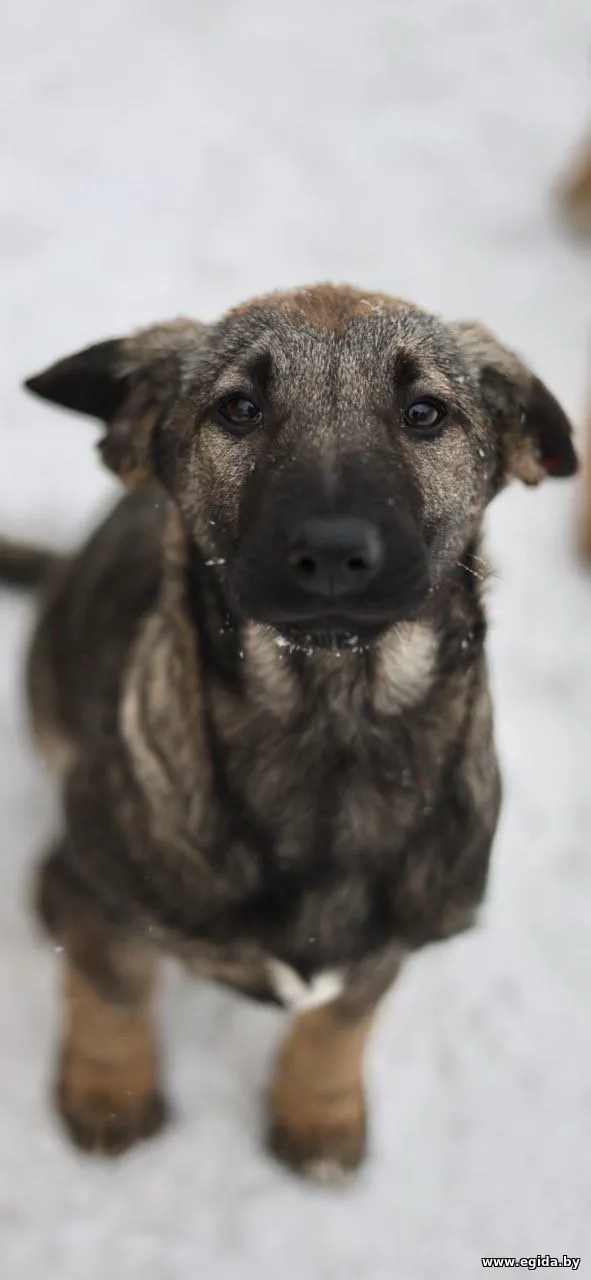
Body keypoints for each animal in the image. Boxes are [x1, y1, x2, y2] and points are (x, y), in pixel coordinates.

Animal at [0, 284, 577, 1182]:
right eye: (238, 409)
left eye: (424, 413)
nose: (334, 554)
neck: (328, 725)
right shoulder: (105, 903)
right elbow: (112, 994)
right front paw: (110, 1092)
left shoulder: (390, 948)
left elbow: (338, 1025)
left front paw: (318, 1114)